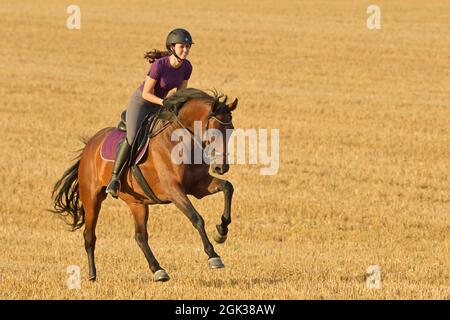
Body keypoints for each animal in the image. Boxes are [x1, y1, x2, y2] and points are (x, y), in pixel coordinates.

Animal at [51, 89, 237, 282]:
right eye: (214, 132)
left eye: (231, 131)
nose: (221, 167)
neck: (183, 142)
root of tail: (89, 145)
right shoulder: (173, 190)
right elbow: (196, 218)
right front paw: (213, 256)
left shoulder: (198, 186)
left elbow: (228, 187)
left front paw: (221, 231)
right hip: (92, 199)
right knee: (89, 235)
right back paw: (92, 275)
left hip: (137, 203)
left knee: (140, 236)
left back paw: (158, 270)